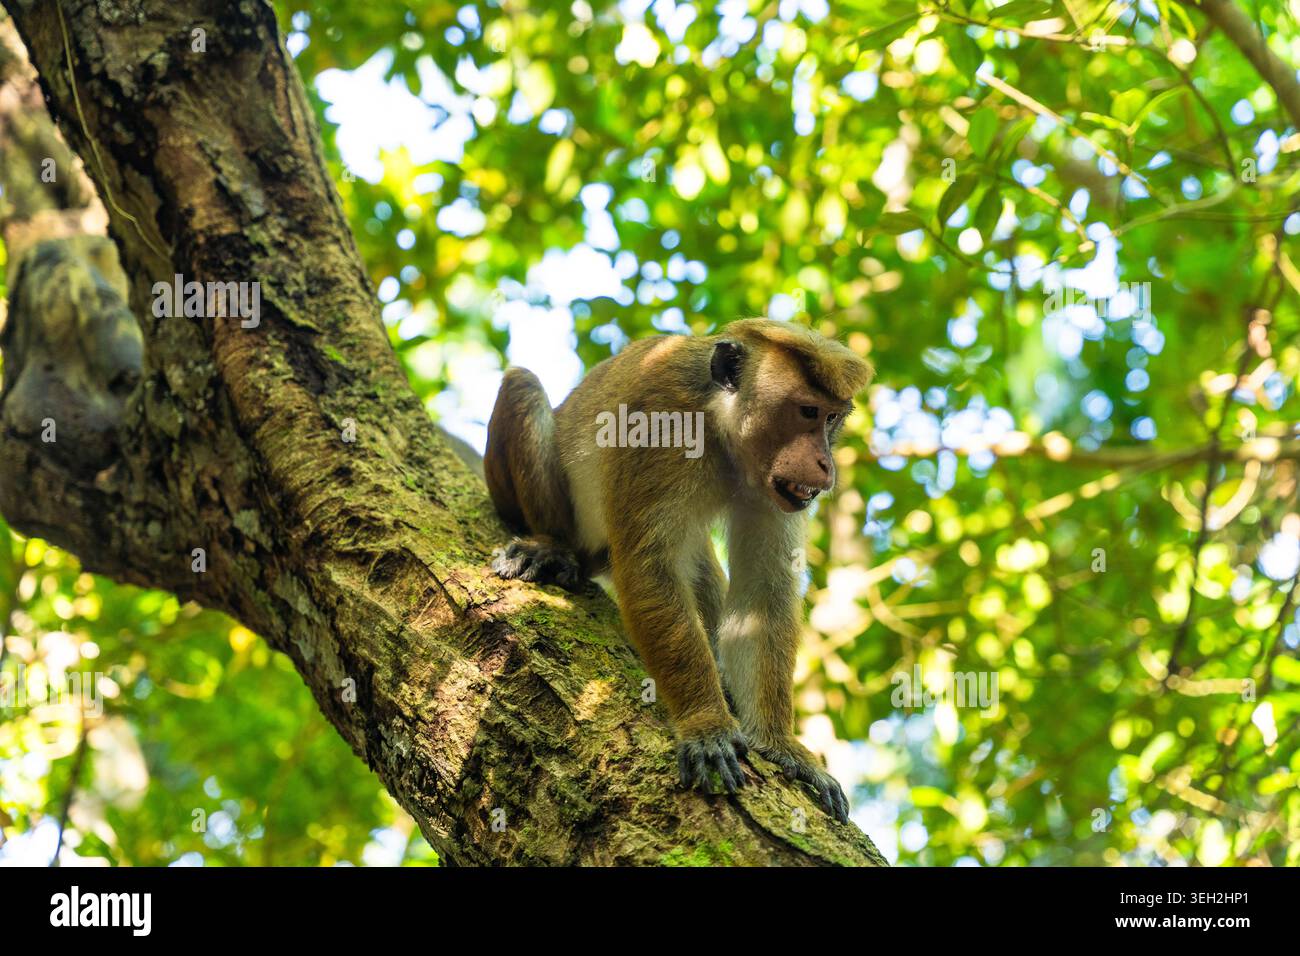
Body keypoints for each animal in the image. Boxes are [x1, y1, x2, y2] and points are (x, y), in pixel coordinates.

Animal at [483, 318, 872, 822]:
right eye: (807, 411)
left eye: (831, 419)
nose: (826, 465)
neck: (719, 428)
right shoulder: (659, 415)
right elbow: (649, 565)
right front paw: (705, 725)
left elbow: (763, 595)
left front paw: (781, 745)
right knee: (523, 384)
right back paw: (553, 547)